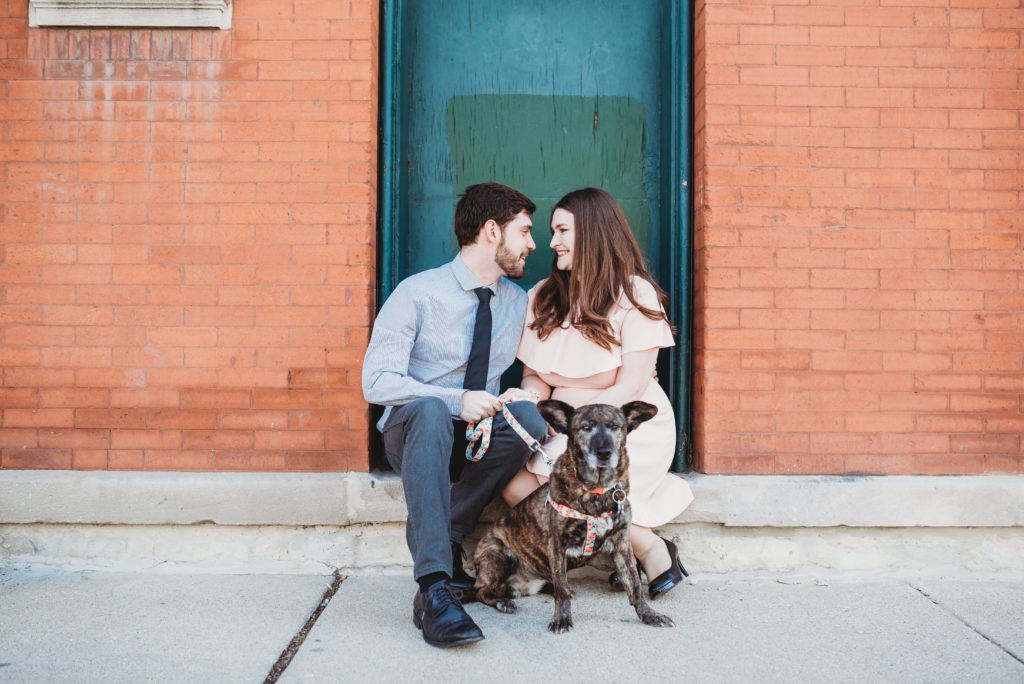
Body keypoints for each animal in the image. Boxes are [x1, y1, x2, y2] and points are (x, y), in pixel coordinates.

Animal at [468, 397, 675, 634]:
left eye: (615, 426)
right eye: (585, 428)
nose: (604, 452)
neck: (597, 490)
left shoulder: (622, 545)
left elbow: (635, 586)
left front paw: (650, 615)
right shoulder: (557, 545)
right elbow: (561, 589)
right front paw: (562, 619)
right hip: (497, 554)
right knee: (480, 591)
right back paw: (503, 602)